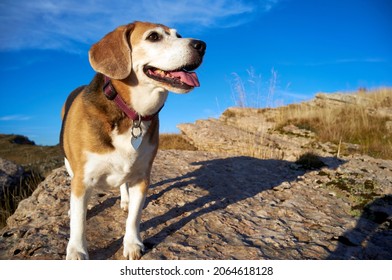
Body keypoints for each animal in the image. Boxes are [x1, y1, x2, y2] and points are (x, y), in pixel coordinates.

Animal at [60, 21, 207, 260]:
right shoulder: (83, 179)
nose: (202, 45)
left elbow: (135, 217)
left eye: (179, 35)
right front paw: (77, 250)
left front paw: (132, 243)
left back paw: (125, 199)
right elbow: (79, 223)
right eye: (154, 37)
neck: (131, 113)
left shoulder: (141, 177)